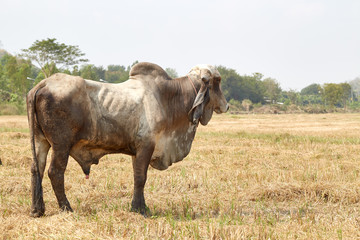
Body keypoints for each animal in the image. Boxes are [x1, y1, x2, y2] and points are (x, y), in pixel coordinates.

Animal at [26, 61, 228, 217]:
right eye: (217, 80)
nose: (226, 105)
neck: (168, 97)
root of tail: (42, 84)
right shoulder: (146, 146)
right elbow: (141, 178)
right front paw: (140, 209)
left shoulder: (136, 151)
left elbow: (136, 177)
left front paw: (140, 206)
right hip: (61, 145)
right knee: (54, 172)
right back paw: (66, 208)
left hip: (40, 141)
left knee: (37, 170)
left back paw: (37, 210)